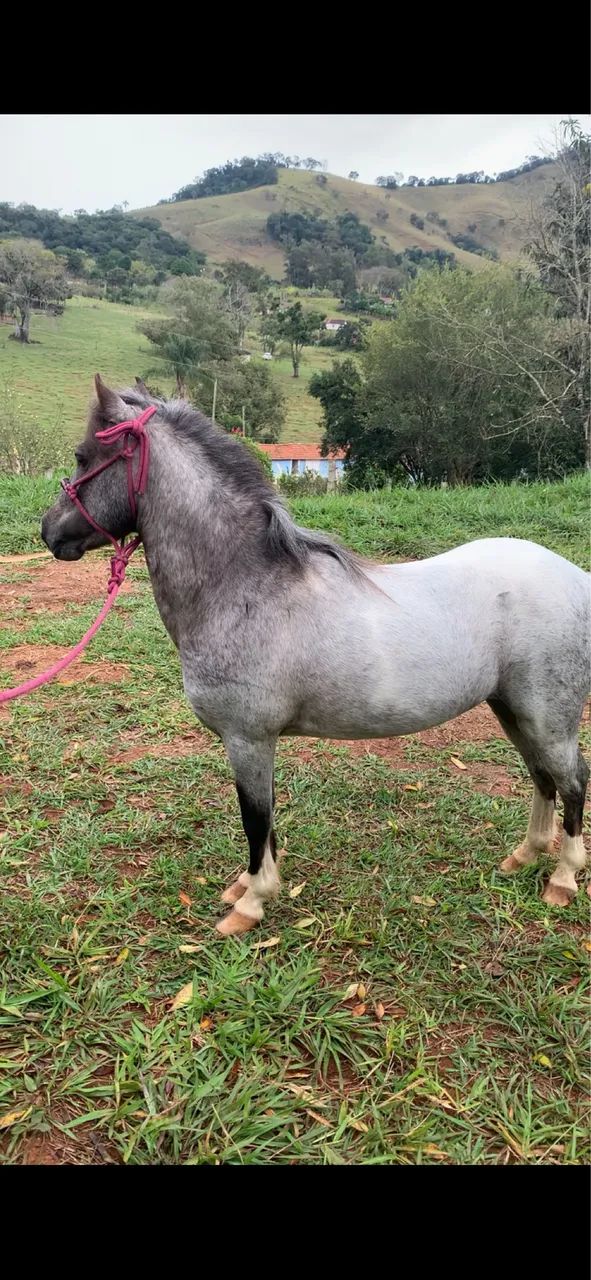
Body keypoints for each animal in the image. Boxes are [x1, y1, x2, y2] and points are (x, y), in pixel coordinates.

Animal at [40, 375, 590, 936]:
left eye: (84, 458)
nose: (49, 531)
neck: (244, 587)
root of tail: (576, 577)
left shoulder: (248, 739)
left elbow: (255, 818)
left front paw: (251, 903)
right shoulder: (254, 742)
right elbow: (266, 821)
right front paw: (247, 885)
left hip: (549, 718)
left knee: (572, 782)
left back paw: (563, 879)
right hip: (512, 709)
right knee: (542, 777)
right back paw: (525, 856)